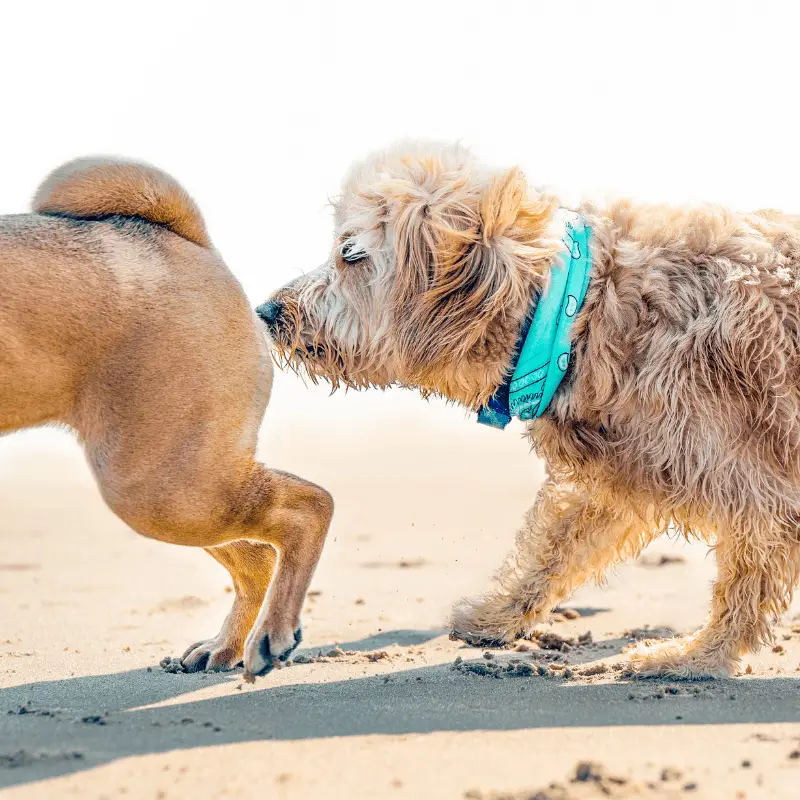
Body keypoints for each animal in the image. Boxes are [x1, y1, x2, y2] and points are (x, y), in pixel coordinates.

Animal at [1, 155, 332, 676]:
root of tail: (183, 238)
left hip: (161, 485)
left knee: (308, 507)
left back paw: (271, 634)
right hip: (182, 479)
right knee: (257, 558)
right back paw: (227, 644)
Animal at [262, 141, 800, 680]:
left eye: (350, 254)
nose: (268, 312)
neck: (578, 311)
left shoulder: (755, 489)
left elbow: (746, 581)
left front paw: (698, 656)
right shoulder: (625, 466)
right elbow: (556, 547)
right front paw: (497, 616)